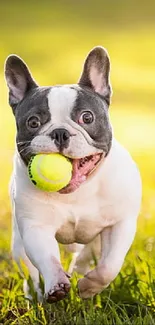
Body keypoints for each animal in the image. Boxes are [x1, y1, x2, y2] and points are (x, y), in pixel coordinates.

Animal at [3, 45, 142, 302]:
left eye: (87, 117)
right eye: (33, 122)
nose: (60, 132)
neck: (78, 191)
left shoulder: (120, 224)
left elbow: (109, 265)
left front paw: (88, 287)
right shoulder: (36, 228)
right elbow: (47, 258)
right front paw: (56, 284)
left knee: (88, 255)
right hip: (18, 243)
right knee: (29, 269)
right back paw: (35, 293)